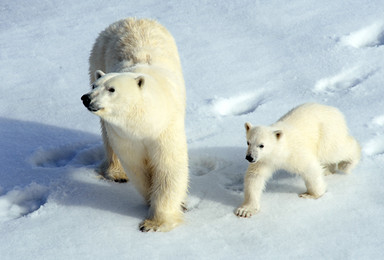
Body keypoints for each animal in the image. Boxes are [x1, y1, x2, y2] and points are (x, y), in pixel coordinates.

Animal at [81, 18, 189, 233]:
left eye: (111, 89)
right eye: (95, 86)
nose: (86, 98)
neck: (144, 123)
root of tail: (127, 20)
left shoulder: (165, 129)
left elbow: (168, 167)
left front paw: (155, 222)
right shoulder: (125, 136)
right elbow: (137, 166)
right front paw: (150, 205)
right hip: (97, 56)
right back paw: (117, 174)